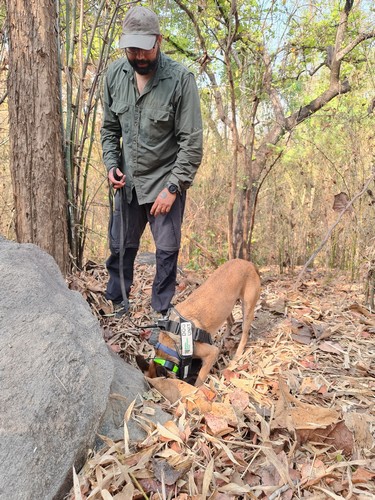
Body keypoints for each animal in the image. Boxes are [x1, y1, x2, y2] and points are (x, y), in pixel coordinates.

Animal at [136, 258, 262, 386]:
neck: (171, 340)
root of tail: (248, 263)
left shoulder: (211, 353)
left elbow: (199, 380)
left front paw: (196, 388)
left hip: (247, 308)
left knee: (245, 333)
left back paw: (237, 355)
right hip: (227, 308)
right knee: (231, 320)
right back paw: (224, 338)